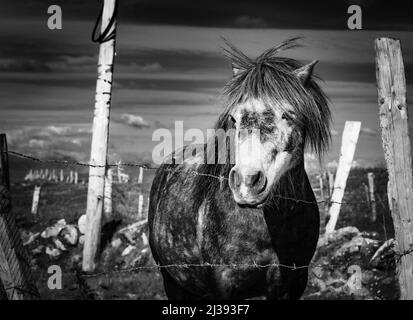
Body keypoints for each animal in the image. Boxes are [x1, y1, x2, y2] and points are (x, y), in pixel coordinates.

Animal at [146, 38, 330, 300]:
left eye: (288, 115)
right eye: (234, 119)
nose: (246, 182)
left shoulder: (292, 284)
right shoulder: (225, 285)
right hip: (171, 280)